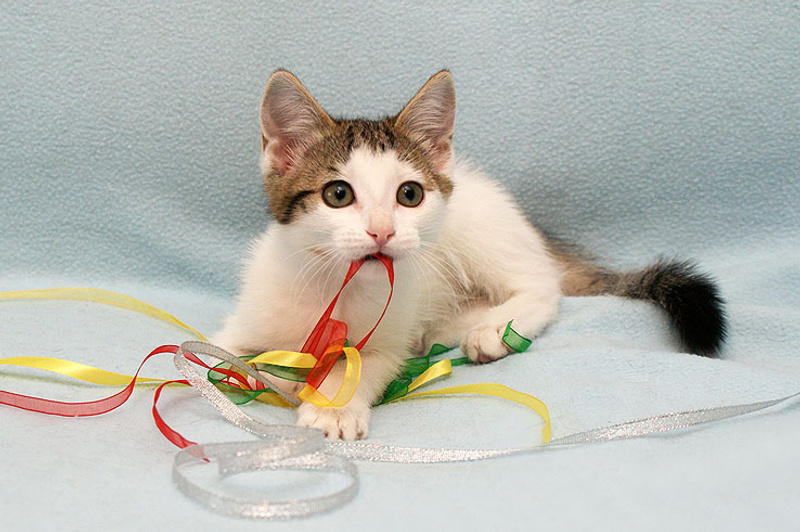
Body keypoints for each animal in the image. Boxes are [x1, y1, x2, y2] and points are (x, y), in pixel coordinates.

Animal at [213, 70, 727, 441]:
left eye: (409, 194)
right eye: (338, 194)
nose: (383, 230)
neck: (335, 287)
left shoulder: (388, 340)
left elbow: (364, 364)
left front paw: (333, 407)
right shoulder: (242, 325)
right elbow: (226, 358)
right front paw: (277, 379)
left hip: (480, 232)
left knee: (544, 286)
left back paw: (496, 330)